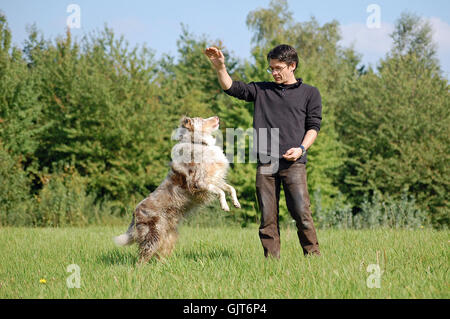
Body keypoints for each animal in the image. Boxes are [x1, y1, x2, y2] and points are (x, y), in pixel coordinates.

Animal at [113, 116, 239, 264]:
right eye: (202, 119)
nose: (217, 117)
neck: (200, 143)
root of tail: (135, 213)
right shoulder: (199, 183)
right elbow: (221, 192)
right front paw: (225, 206)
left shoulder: (214, 179)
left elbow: (230, 188)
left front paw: (236, 203)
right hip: (153, 235)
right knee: (142, 257)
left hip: (169, 236)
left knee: (160, 254)